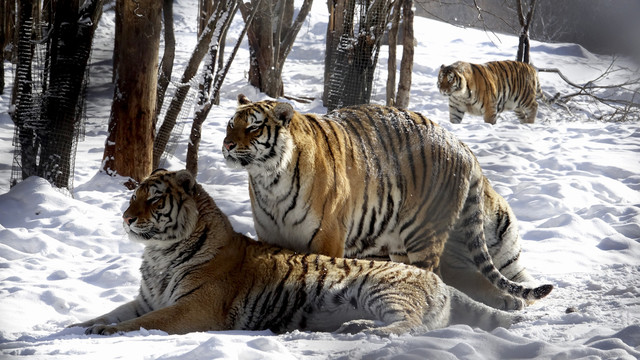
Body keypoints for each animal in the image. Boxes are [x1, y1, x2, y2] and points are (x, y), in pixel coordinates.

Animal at [67, 170, 516, 336]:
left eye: (154, 199)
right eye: (134, 196)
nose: (126, 217)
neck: (158, 255)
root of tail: (438, 279)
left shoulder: (194, 306)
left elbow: (146, 322)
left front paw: (104, 333)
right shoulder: (147, 297)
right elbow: (114, 312)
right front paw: (77, 325)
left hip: (385, 290)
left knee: (412, 327)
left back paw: (363, 329)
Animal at [222, 95, 552, 310]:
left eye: (253, 128)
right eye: (229, 125)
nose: (226, 145)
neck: (269, 181)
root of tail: (460, 143)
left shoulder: (327, 236)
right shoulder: (271, 235)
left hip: (423, 235)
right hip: (399, 244)